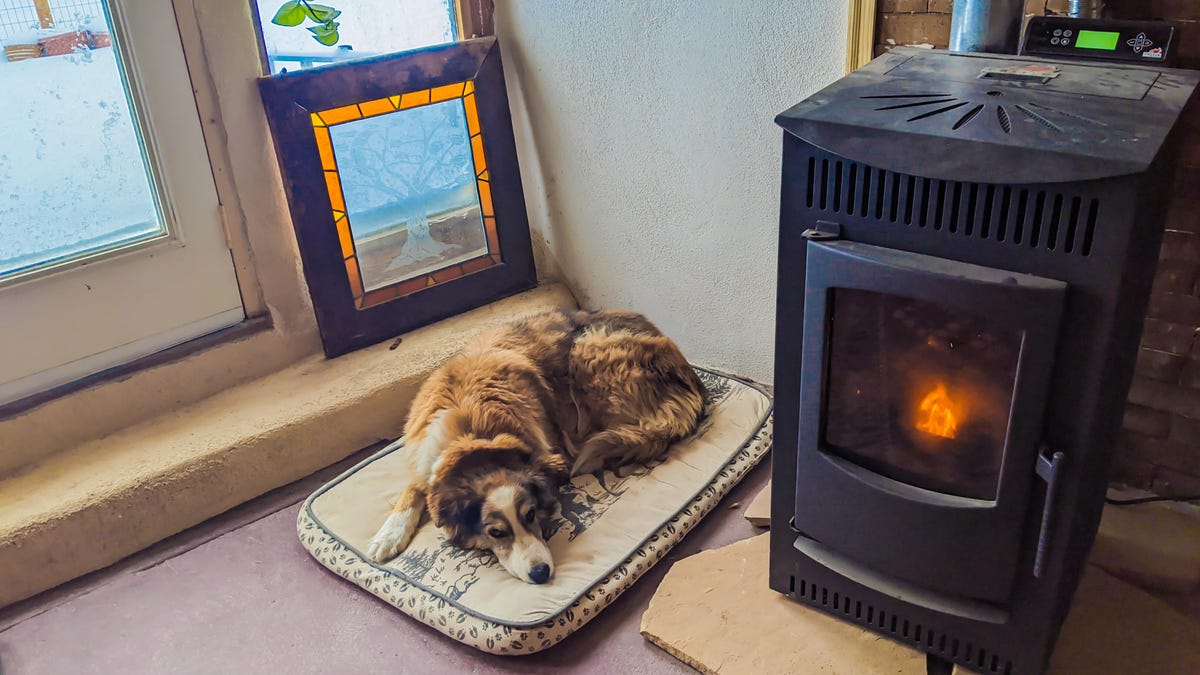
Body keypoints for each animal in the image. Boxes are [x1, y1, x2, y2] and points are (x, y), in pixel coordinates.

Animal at [360, 307, 705, 581]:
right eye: (495, 533)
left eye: (530, 515)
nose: (541, 574)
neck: (473, 435)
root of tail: (689, 378)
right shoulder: (426, 461)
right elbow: (413, 488)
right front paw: (388, 534)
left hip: (587, 350)